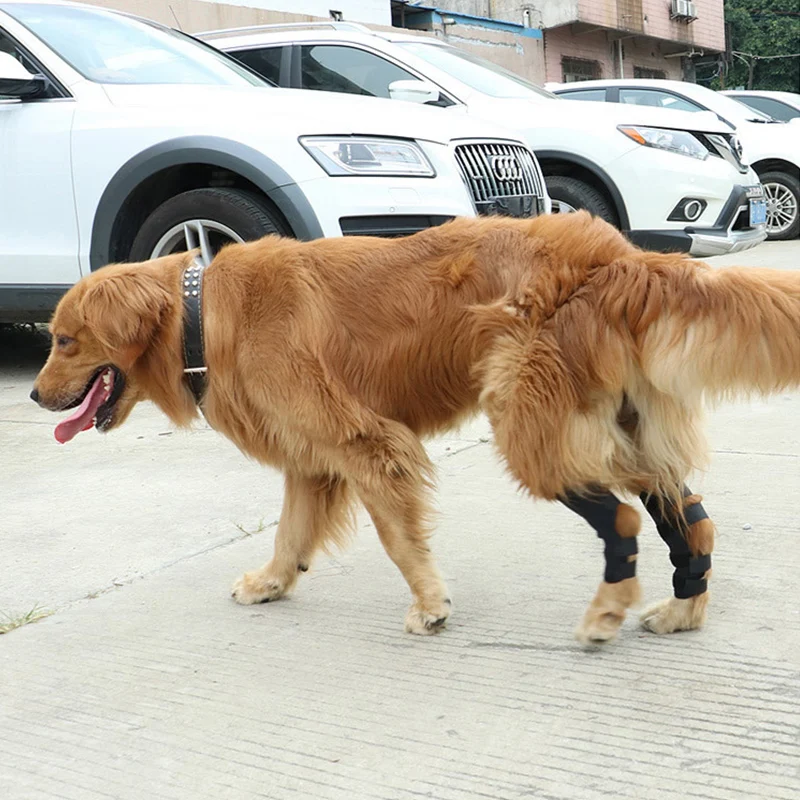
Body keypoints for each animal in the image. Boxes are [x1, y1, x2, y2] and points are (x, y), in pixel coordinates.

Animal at [31, 211, 800, 644]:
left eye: (65, 341)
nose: (35, 397)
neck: (202, 314)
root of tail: (621, 255)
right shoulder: (311, 459)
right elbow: (289, 534)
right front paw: (273, 583)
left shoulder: (368, 446)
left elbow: (399, 542)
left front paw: (431, 606)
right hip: (611, 425)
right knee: (686, 513)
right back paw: (682, 611)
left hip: (530, 428)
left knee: (626, 518)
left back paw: (609, 611)